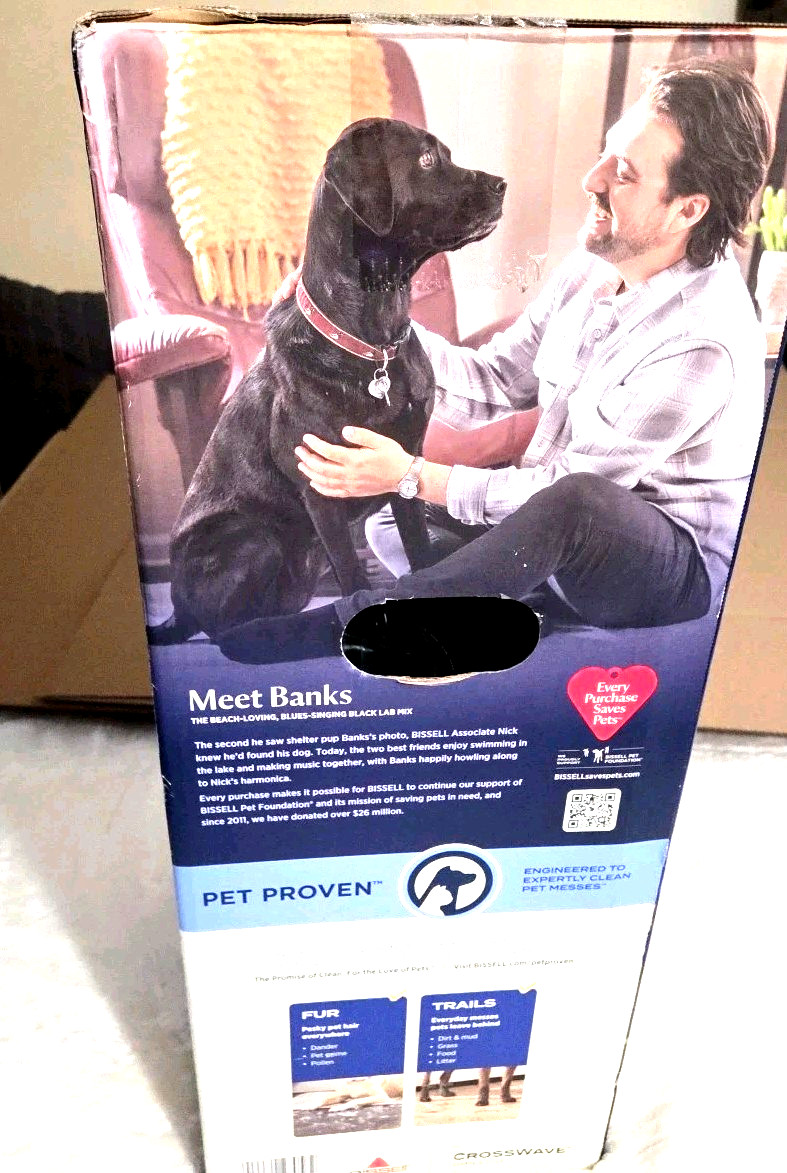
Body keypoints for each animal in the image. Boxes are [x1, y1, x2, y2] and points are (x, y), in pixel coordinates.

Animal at [150, 118, 505, 645]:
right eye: (426, 160)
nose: (503, 185)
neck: (375, 343)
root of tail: (175, 607)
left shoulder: (405, 464)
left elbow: (420, 551)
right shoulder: (321, 492)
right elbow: (352, 579)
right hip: (254, 540)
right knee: (224, 628)